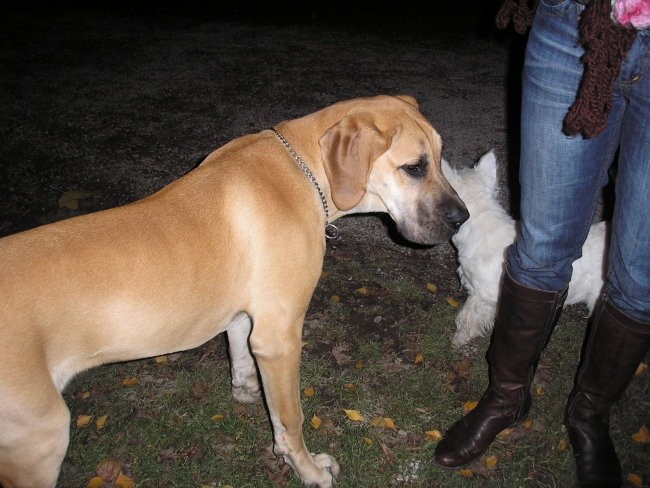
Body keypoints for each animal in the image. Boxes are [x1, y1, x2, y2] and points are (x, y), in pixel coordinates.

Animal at [0, 93, 466, 486]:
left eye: (441, 158)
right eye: (414, 167)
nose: (462, 218)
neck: (304, 169)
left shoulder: (251, 319)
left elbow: (239, 350)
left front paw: (246, 389)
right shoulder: (281, 338)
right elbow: (291, 420)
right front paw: (308, 469)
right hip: (41, 437)